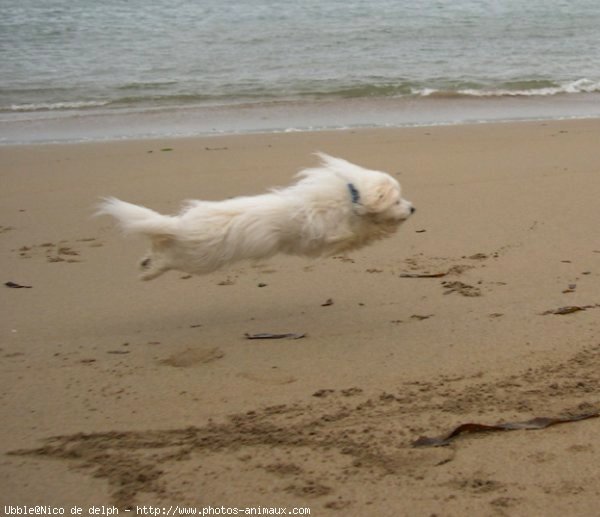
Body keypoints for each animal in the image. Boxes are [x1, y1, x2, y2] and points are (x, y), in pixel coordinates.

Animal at [98, 153, 414, 280]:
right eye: (397, 199)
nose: (413, 209)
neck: (352, 195)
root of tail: (179, 225)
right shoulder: (330, 234)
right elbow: (362, 230)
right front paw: (385, 223)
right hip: (198, 258)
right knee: (166, 258)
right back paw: (149, 272)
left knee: (157, 247)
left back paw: (145, 262)